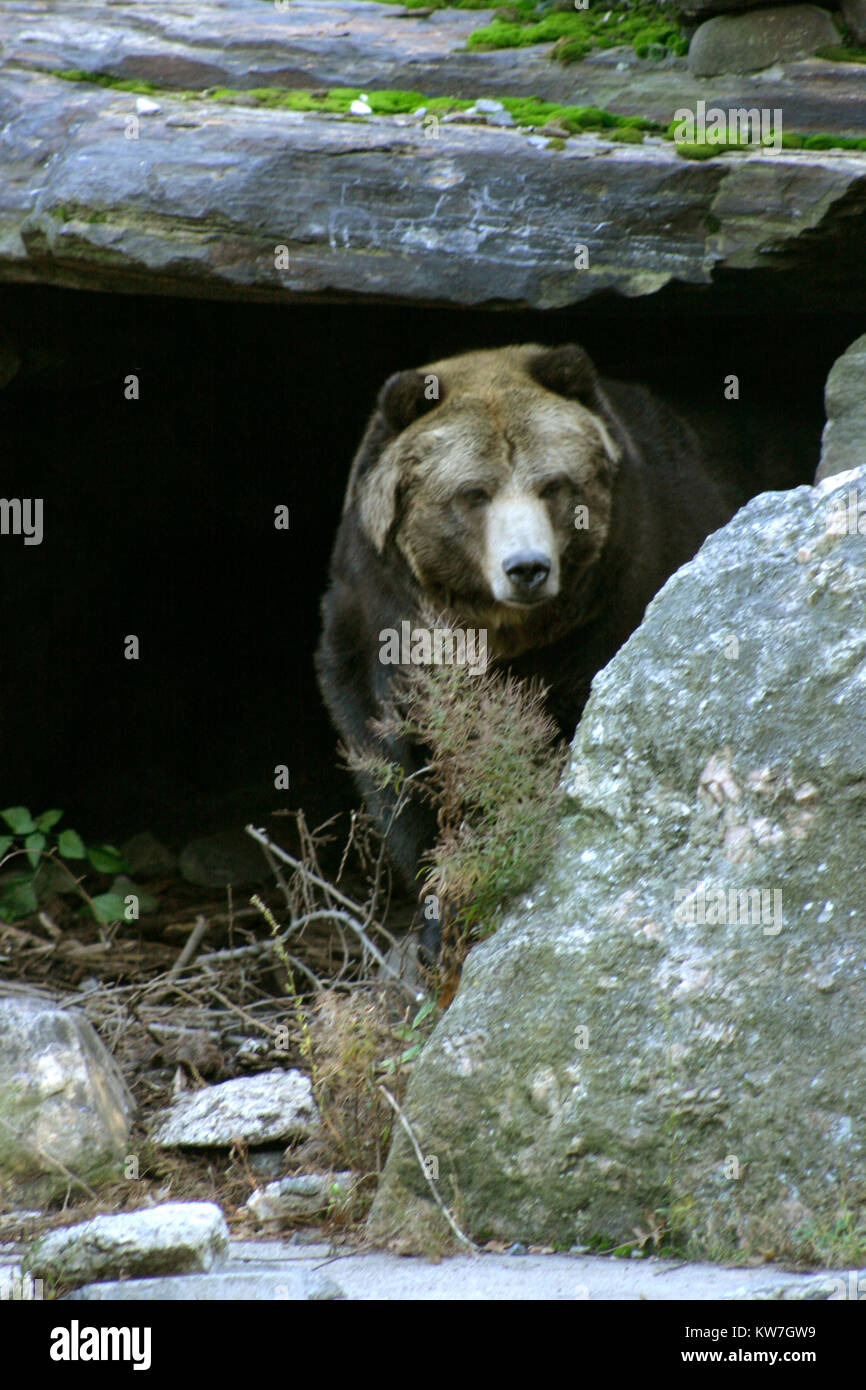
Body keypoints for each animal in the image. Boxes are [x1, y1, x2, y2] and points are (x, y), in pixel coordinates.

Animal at [315, 342, 794, 955]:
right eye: (474, 493)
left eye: (553, 485)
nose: (527, 568)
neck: (503, 630)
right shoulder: (377, 619)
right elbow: (399, 764)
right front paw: (437, 916)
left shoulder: (614, 605)